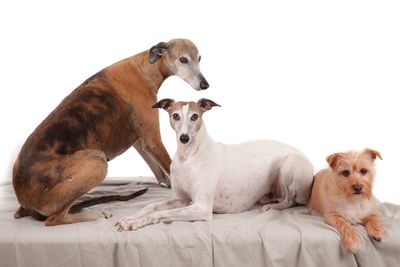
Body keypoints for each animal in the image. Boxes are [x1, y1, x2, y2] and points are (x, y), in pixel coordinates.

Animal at [12, 38, 209, 226]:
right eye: (183, 59)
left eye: (199, 58)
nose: (205, 84)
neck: (145, 67)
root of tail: (24, 203)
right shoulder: (153, 140)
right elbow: (167, 165)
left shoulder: (141, 142)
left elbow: (159, 171)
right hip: (97, 162)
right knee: (55, 219)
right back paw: (96, 213)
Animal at [115, 99, 316, 231]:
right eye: (175, 115)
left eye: (195, 116)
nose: (184, 138)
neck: (188, 157)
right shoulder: (181, 200)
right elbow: (150, 207)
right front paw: (130, 218)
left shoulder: (201, 208)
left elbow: (158, 214)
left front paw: (135, 222)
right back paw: (268, 199)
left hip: (290, 164)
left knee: (290, 201)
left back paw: (272, 207)